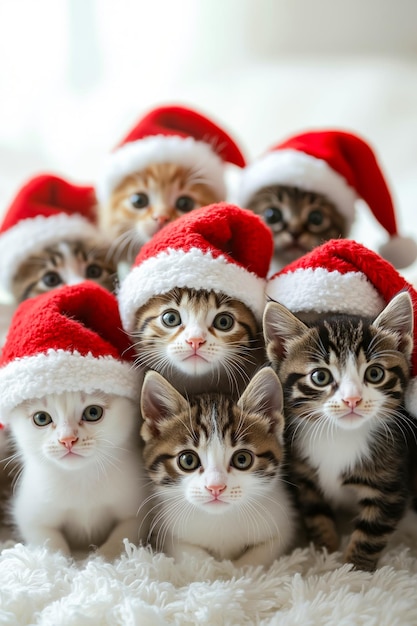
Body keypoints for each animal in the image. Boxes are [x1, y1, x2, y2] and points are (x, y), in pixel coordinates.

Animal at [5, 390, 147, 556]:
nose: (67, 439)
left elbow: (124, 537)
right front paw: (60, 560)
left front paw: (103, 557)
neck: (81, 477)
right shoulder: (30, 516)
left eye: (93, 412)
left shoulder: (138, 512)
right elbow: (49, 543)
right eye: (41, 418)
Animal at [264, 290, 412, 568]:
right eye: (320, 377)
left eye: (375, 373)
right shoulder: (305, 478)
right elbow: (316, 515)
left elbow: (371, 533)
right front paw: (325, 555)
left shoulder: (390, 484)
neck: (340, 435)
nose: (352, 399)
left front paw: (354, 570)